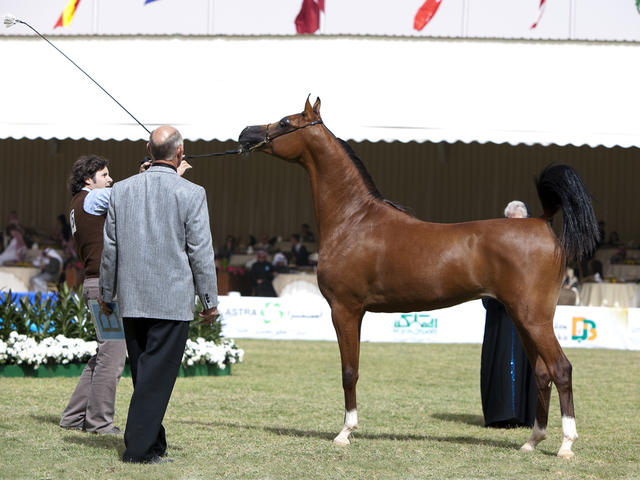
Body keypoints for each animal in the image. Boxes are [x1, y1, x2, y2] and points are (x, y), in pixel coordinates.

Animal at [239, 96, 600, 458]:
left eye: (285, 122)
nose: (245, 133)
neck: (353, 220)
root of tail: (541, 221)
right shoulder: (356, 312)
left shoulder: (344, 309)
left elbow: (349, 372)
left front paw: (345, 432)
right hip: (522, 318)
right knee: (542, 373)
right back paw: (531, 441)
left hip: (533, 317)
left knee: (561, 369)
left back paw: (566, 445)